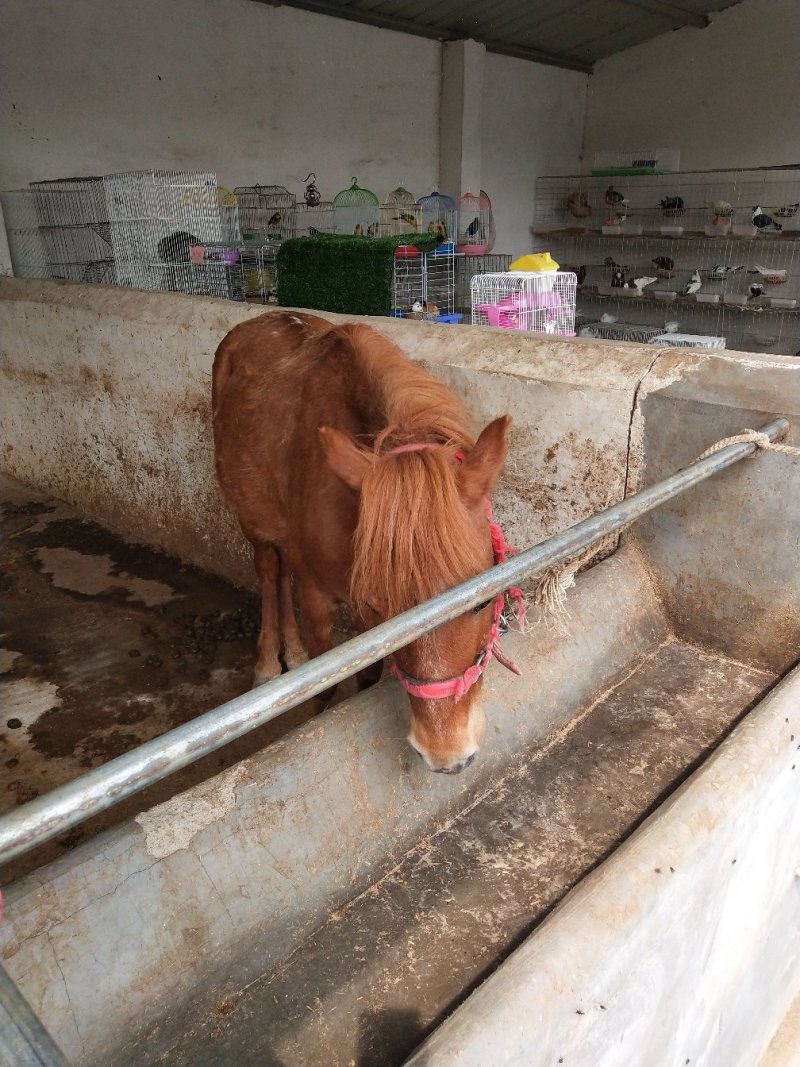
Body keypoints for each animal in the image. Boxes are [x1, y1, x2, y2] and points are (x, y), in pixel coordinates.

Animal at [212, 311, 514, 773]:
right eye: (386, 610)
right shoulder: (320, 598)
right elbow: (324, 688)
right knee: (268, 568)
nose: (446, 756)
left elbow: (368, 676)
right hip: (251, 516)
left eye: (481, 602)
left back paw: (292, 651)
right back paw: (268, 662)